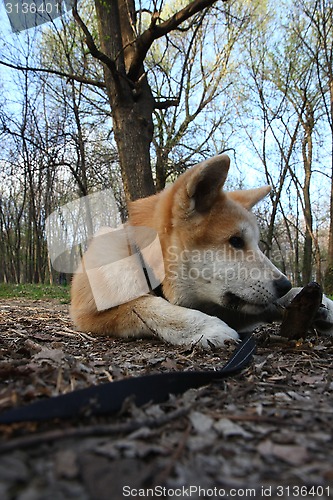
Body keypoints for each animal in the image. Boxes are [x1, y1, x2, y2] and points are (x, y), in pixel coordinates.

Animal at [69, 155, 332, 348]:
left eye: (256, 243)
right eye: (236, 241)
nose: (285, 285)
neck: (141, 261)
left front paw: (313, 301)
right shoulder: (90, 314)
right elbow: (147, 305)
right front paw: (206, 327)